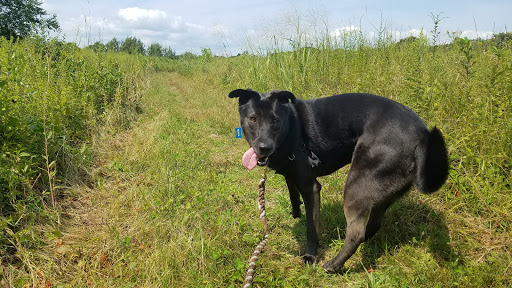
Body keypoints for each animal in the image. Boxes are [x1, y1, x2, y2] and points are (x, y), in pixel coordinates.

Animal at [229, 89, 448, 274]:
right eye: (253, 118)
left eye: (275, 120)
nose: (264, 147)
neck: (292, 127)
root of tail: (422, 137)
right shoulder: (290, 174)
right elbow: (292, 191)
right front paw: (296, 212)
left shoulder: (311, 188)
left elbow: (311, 227)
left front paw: (310, 255)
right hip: (382, 189)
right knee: (372, 225)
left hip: (356, 185)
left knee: (356, 233)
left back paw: (333, 265)